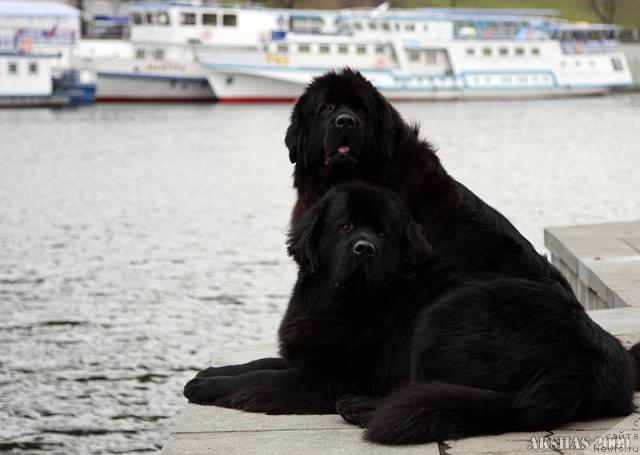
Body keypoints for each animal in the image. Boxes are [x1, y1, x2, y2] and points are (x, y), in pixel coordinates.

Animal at [184, 183, 636, 446]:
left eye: (383, 233)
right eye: (345, 227)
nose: (364, 249)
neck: (339, 298)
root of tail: (576, 364)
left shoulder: (324, 376)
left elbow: (258, 379)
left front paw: (205, 387)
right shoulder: (309, 353)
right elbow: (257, 362)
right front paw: (211, 371)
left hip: (443, 316)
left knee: (434, 393)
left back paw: (359, 407)